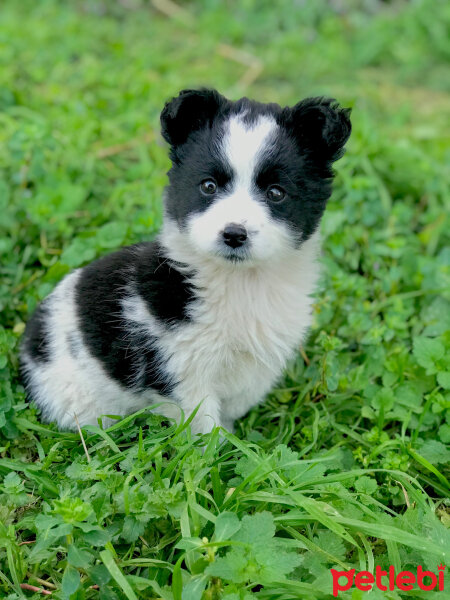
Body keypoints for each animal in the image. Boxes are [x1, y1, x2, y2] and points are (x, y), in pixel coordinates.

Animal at [20, 89, 352, 434]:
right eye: (208, 186)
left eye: (276, 193)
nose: (234, 234)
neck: (241, 283)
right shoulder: (180, 372)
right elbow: (205, 429)